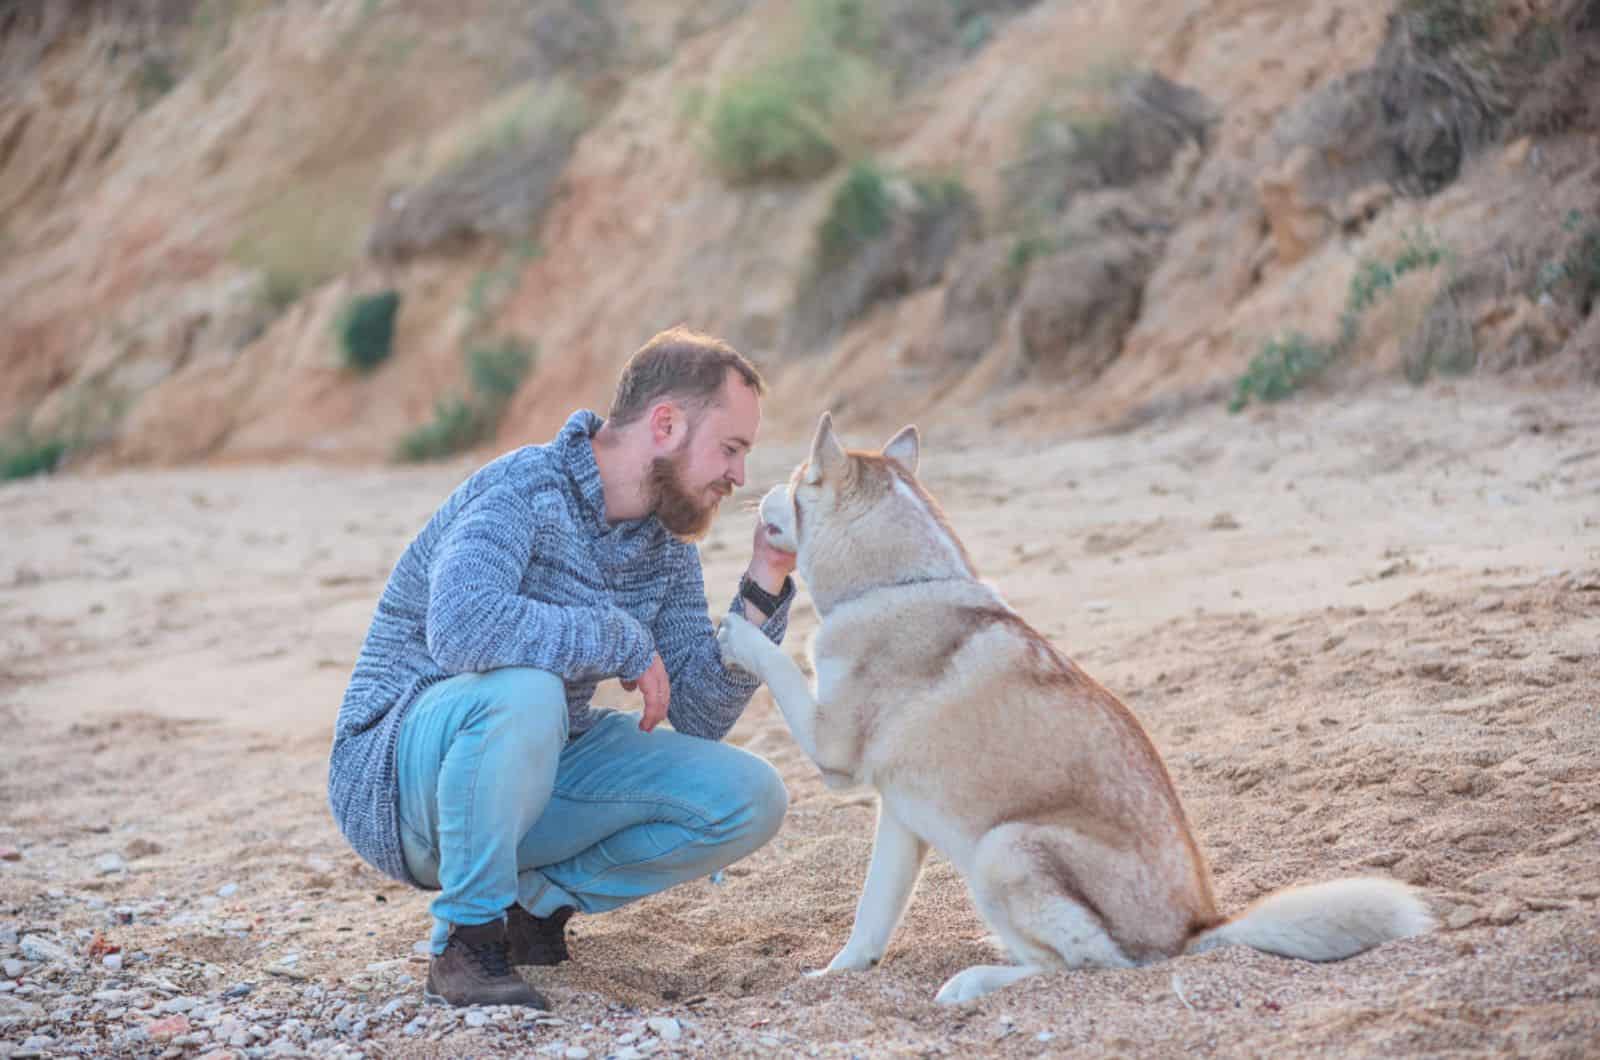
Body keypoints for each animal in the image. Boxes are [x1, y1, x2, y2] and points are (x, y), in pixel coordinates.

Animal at [720, 413, 1433, 1005]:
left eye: (798, 479)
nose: (758, 492)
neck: (898, 583)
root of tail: (1196, 932)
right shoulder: (899, 818)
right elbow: (870, 918)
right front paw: (835, 975)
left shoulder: (830, 750)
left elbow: (779, 664)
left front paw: (737, 636)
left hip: (1003, 847)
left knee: (1086, 966)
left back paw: (977, 980)